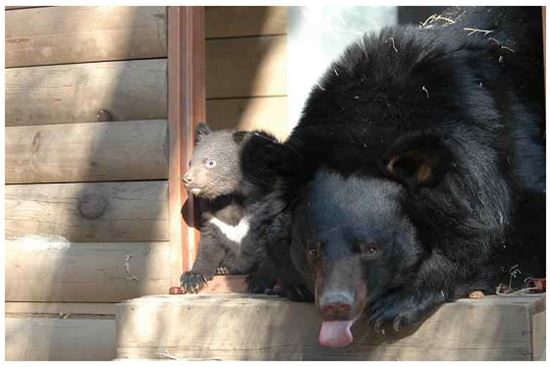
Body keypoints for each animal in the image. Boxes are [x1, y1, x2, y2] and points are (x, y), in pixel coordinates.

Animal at [181, 125, 280, 294]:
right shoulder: (213, 218)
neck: (233, 197)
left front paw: (259, 281)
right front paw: (192, 278)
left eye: (210, 162)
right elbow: (209, 245)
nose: (187, 179)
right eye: (190, 162)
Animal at [245, 7, 548, 350]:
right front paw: (275, 280)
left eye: (371, 249)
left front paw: (397, 306)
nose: (336, 305)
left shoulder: (493, 153)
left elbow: (497, 235)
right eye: (312, 250)